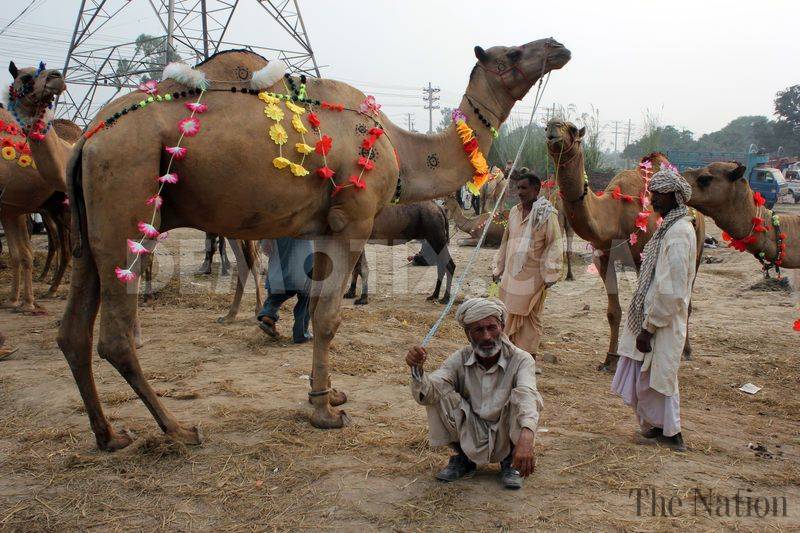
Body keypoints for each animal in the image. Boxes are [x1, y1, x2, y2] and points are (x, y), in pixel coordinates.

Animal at [9, 37, 572, 446]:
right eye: (511, 53)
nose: (558, 45)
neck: (396, 144)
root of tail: (87, 138)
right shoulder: (352, 221)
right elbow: (328, 317)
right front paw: (325, 413)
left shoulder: (322, 228)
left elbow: (318, 308)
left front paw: (328, 395)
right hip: (126, 199)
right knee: (114, 336)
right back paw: (177, 430)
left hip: (90, 227)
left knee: (72, 332)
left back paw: (110, 435)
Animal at [544, 120, 708, 370]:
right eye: (546, 127)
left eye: (571, 129)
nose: (553, 128)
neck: (613, 215)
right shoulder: (603, 259)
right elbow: (613, 312)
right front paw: (609, 360)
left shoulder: (642, 259)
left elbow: (643, 308)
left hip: (695, 253)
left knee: (686, 301)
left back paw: (686, 351)